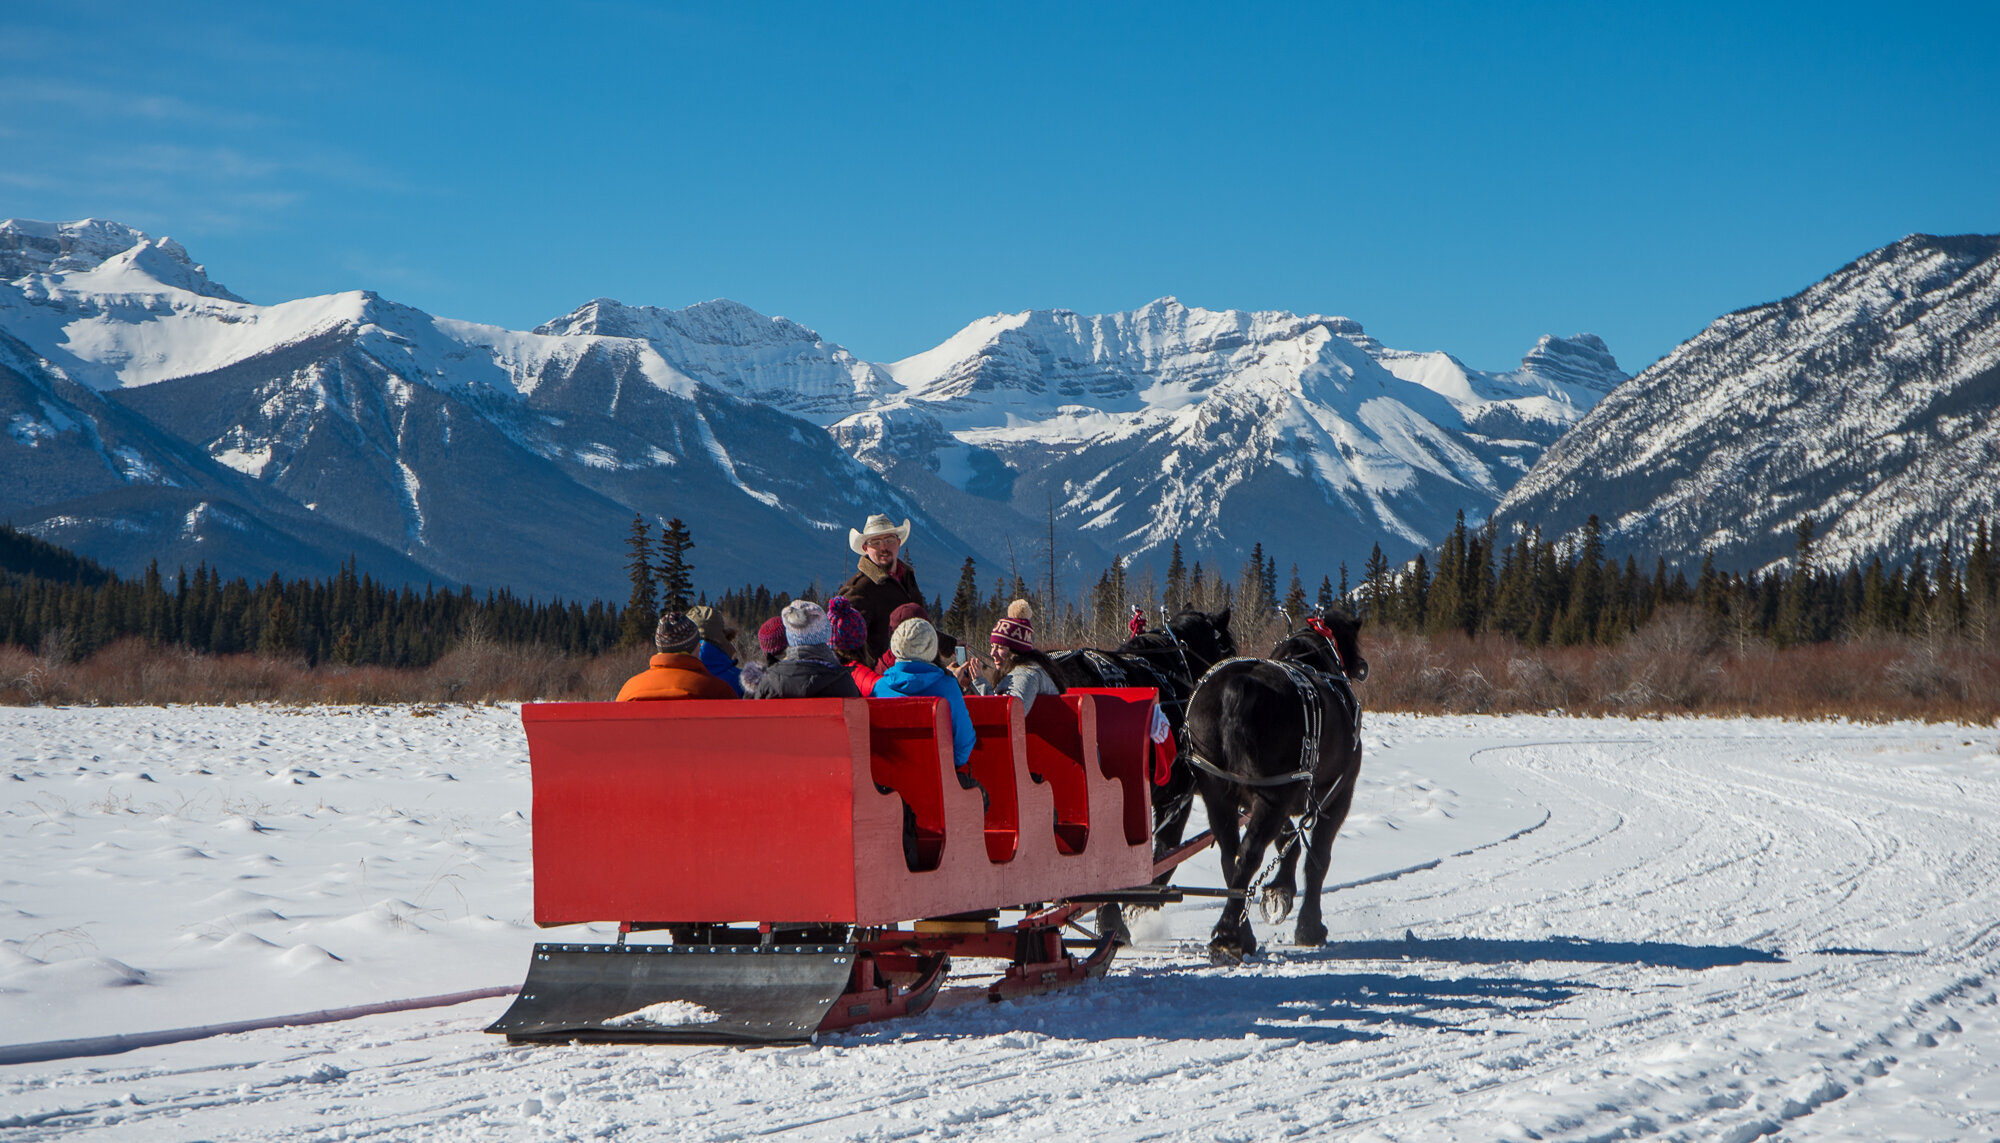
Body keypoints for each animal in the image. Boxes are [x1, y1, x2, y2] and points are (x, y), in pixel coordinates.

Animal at [1176, 607, 1368, 963]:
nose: (1361, 666)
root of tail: (1235, 691)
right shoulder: (1336, 794)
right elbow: (1317, 858)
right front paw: (1310, 926)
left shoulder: (1278, 796)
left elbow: (1287, 840)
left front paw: (1280, 890)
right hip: (1273, 793)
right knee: (1250, 854)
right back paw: (1228, 936)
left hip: (1219, 794)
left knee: (1232, 856)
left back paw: (1241, 933)